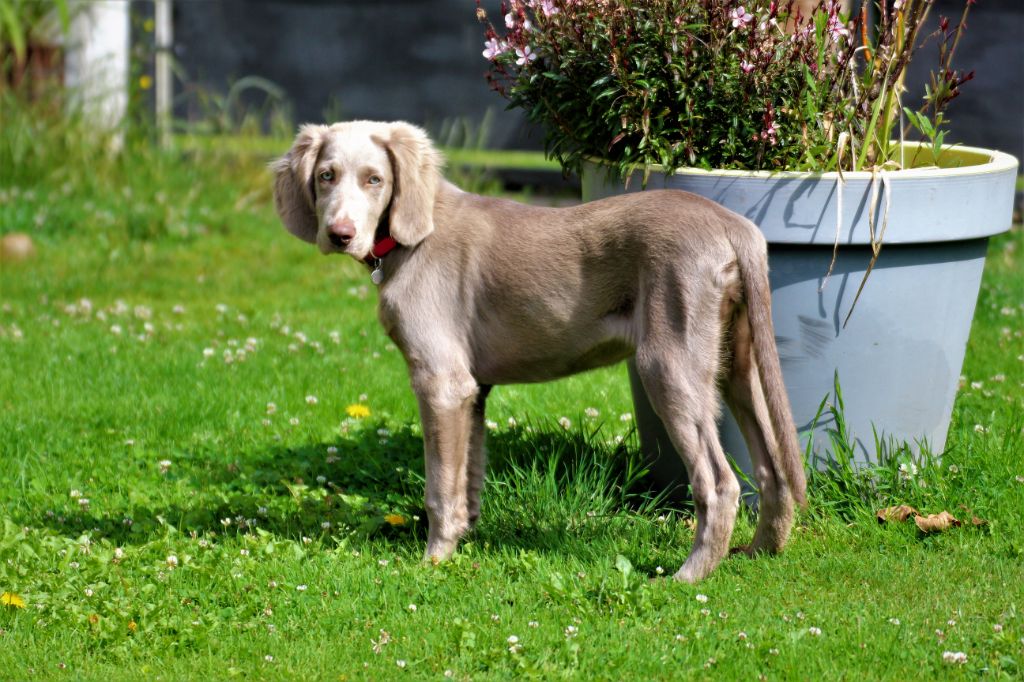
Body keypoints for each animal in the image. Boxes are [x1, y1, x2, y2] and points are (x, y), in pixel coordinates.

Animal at [272, 119, 806, 577]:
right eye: (325, 176)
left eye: (375, 180)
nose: (339, 235)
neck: (414, 237)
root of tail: (733, 225)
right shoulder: (473, 389)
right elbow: (468, 475)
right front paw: (464, 540)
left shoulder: (441, 381)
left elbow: (439, 485)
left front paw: (433, 561)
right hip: (736, 361)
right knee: (773, 467)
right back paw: (761, 552)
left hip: (669, 364)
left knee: (719, 483)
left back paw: (689, 574)